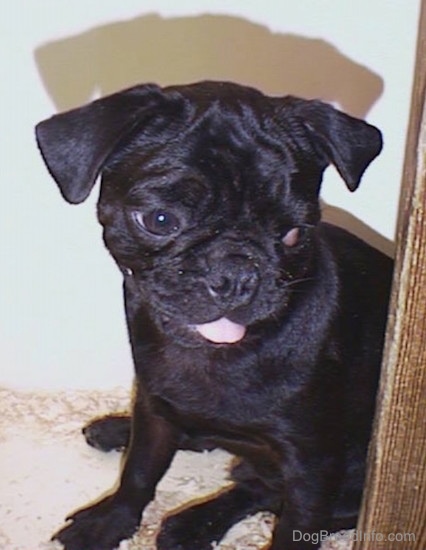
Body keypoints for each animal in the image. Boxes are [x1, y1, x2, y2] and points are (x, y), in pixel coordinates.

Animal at [36, 82, 392, 550]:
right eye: (160, 219)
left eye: (294, 234)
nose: (236, 272)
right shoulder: (154, 405)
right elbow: (138, 472)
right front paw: (110, 521)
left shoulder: (314, 464)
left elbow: (295, 526)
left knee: (258, 490)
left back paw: (193, 523)